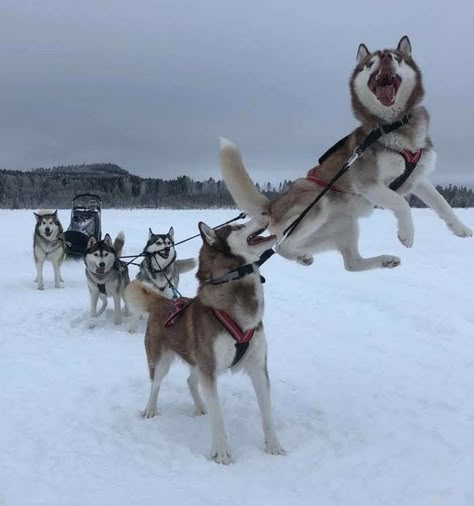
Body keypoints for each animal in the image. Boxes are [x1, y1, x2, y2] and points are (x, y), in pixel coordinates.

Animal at [124, 217, 286, 462]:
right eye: (236, 227)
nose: (265, 214)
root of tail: (163, 301)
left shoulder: (258, 368)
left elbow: (267, 413)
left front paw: (274, 446)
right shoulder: (209, 371)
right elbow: (218, 416)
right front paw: (220, 452)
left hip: (197, 361)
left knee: (191, 381)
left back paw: (201, 407)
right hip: (161, 362)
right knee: (155, 385)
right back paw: (150, 410)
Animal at [220, 36, 472, 272]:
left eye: (396, 57)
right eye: (370, 62)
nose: (385, 58)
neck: (393, 126)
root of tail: (273, 204)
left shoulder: (417, 178)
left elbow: (442, 203)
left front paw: (462, 229)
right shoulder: (368, 183)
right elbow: (401, 203)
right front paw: (407, 234)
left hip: (346, 225)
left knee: (352, 263)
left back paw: (384, 260)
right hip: (315, 204)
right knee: (279, 245)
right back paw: (301, 257)